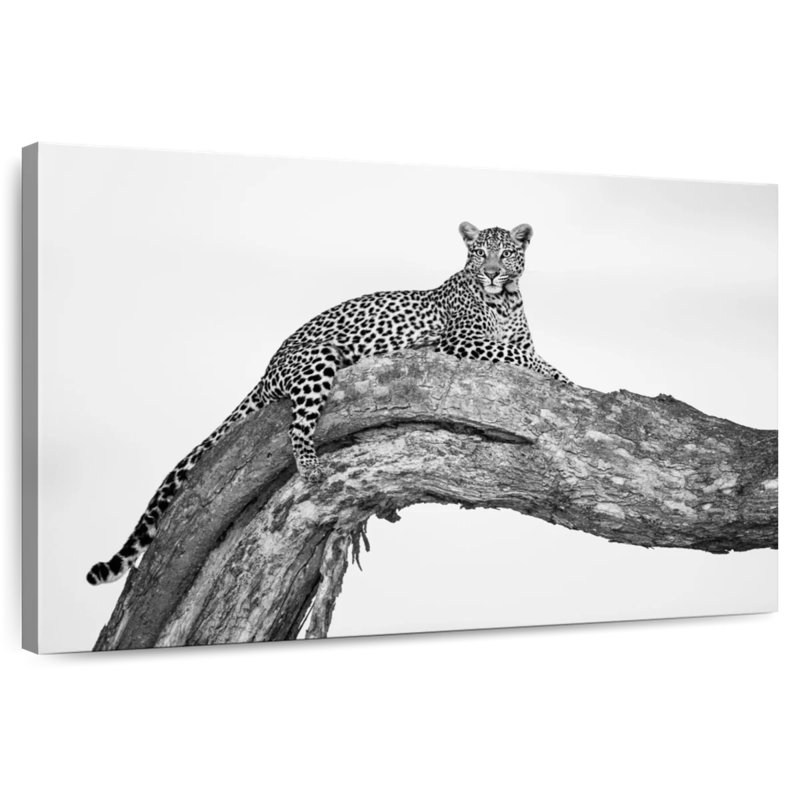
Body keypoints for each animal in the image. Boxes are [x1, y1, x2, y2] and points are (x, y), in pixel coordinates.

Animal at [86, 222, 571, 585]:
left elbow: (530, 355)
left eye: (506, 253)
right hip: (318, 361)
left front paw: (561, 376)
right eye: (479, 253)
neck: (506, 300)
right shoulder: (457, 341)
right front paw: (562, 377)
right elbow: (519, 357)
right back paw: (312, 467)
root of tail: (267, 369)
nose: (490, 273)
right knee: (296, 425)